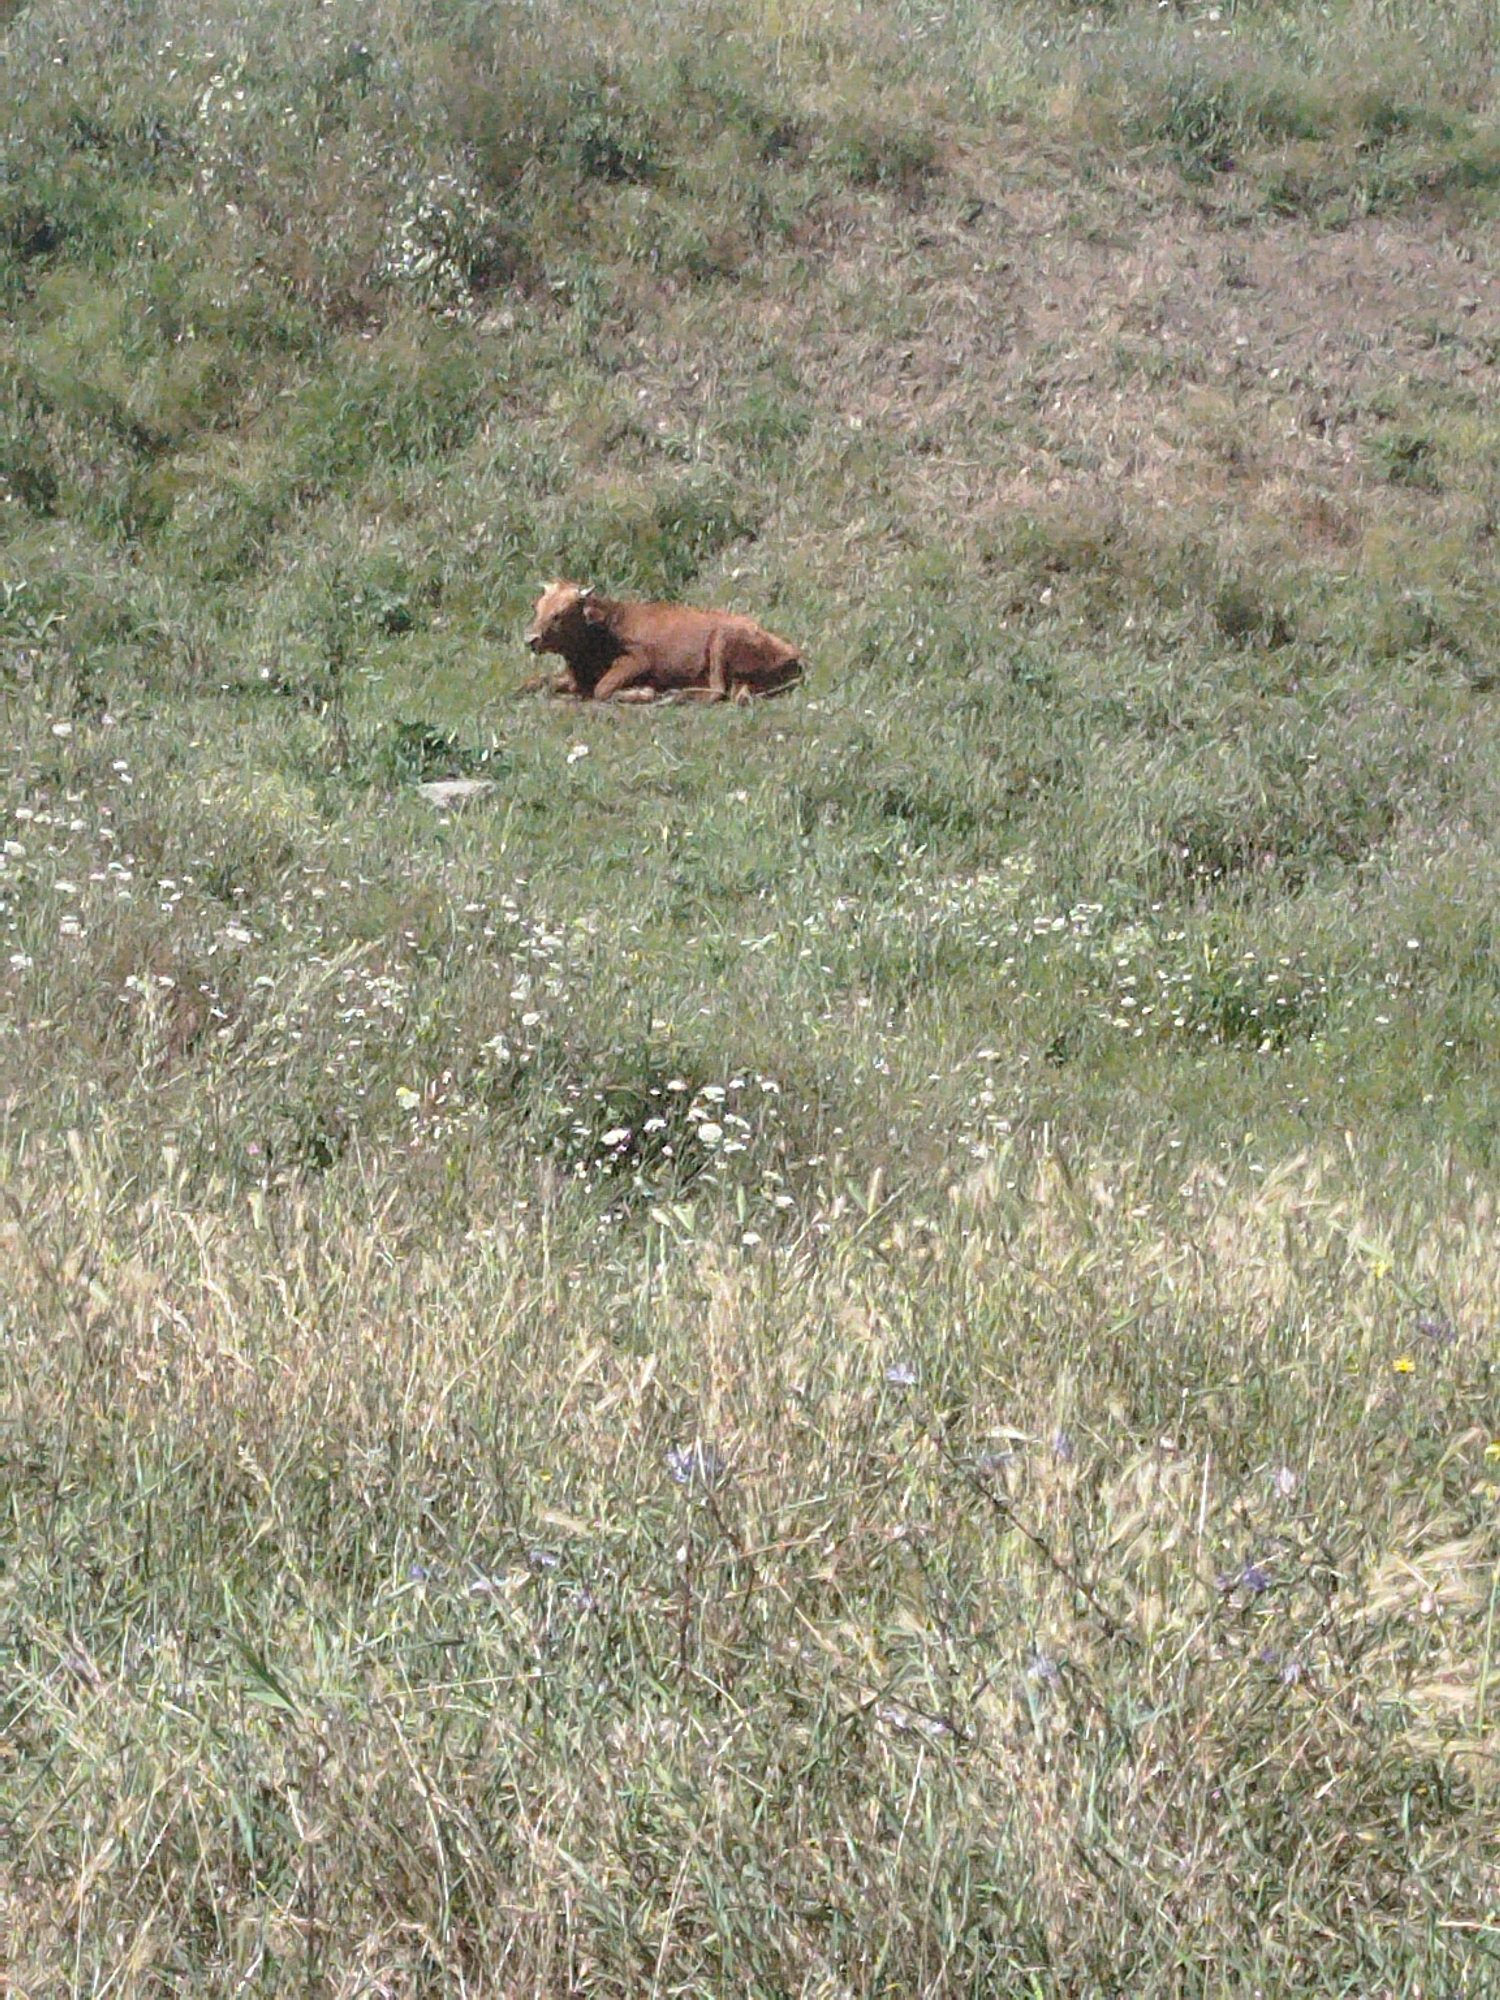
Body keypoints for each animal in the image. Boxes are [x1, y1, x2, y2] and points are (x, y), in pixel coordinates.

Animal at [523, 580, 803, 704]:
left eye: (561, 613)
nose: (530, 639)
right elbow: (537, 681)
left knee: (717, 691)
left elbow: (602, 690)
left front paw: (643, 693)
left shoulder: (637, 661)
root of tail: (793, 651)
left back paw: (674, 695)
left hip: (721, 642)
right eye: (538, 607)